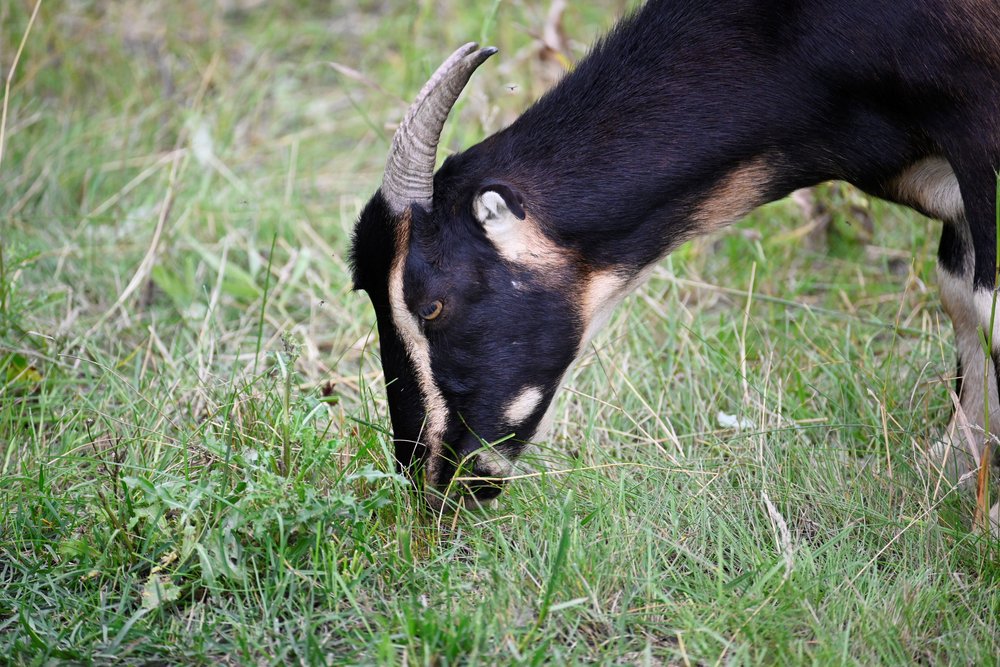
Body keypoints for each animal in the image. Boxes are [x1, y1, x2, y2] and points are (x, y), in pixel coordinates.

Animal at [350, 0, 1000, 516]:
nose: (433, 479)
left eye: (431, 306)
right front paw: (947, 473)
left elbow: (985, 310)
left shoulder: (979, 127)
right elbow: (959, 301)